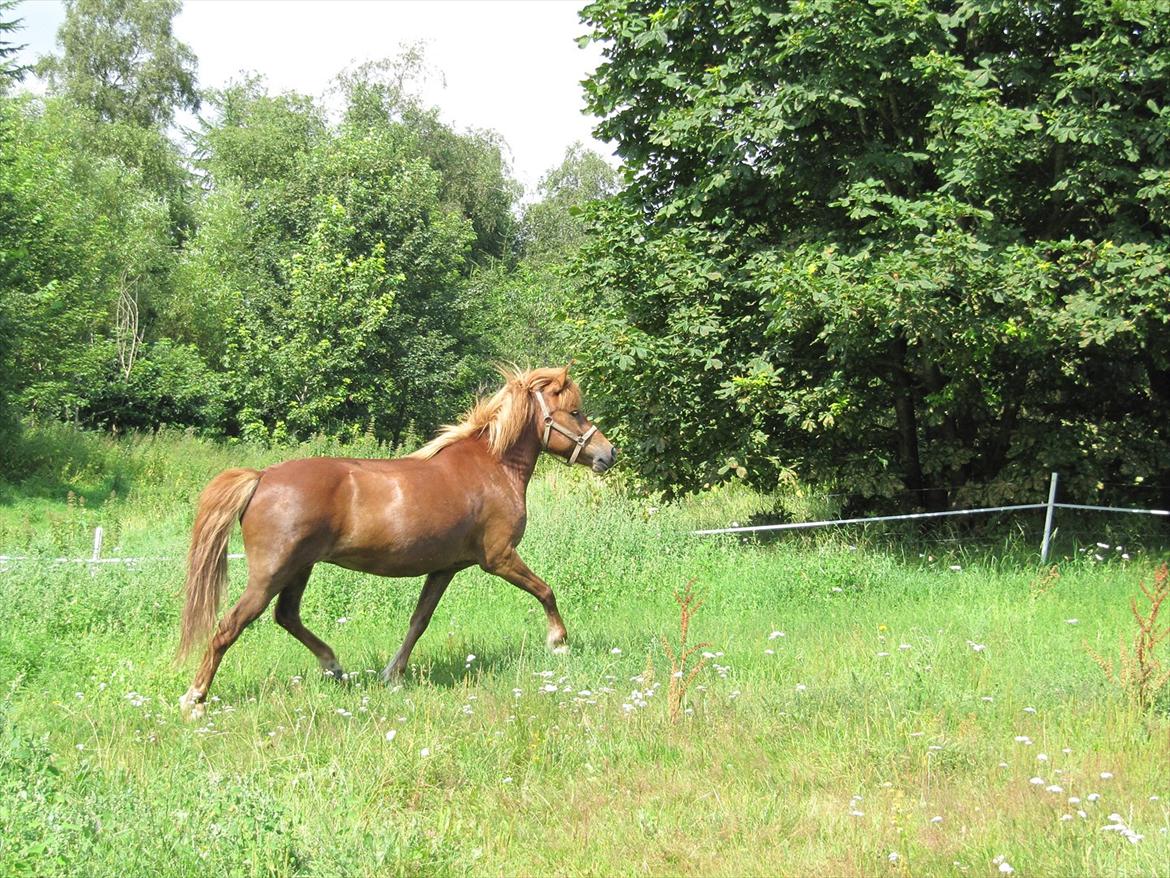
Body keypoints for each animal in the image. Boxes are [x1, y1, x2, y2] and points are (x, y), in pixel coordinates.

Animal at [175, 365, 613, 721]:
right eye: (575, 411)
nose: (608, 453)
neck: (492, 467)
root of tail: (262, 477)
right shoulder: (499, 557)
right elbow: (545, 590)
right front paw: (558, 642)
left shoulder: (444, 568)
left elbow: (419, 620)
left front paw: (393, 675)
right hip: (272, 573)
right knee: (229, 626)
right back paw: (195, 699)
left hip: (300, 568)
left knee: (287, 616)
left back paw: (333, 666)